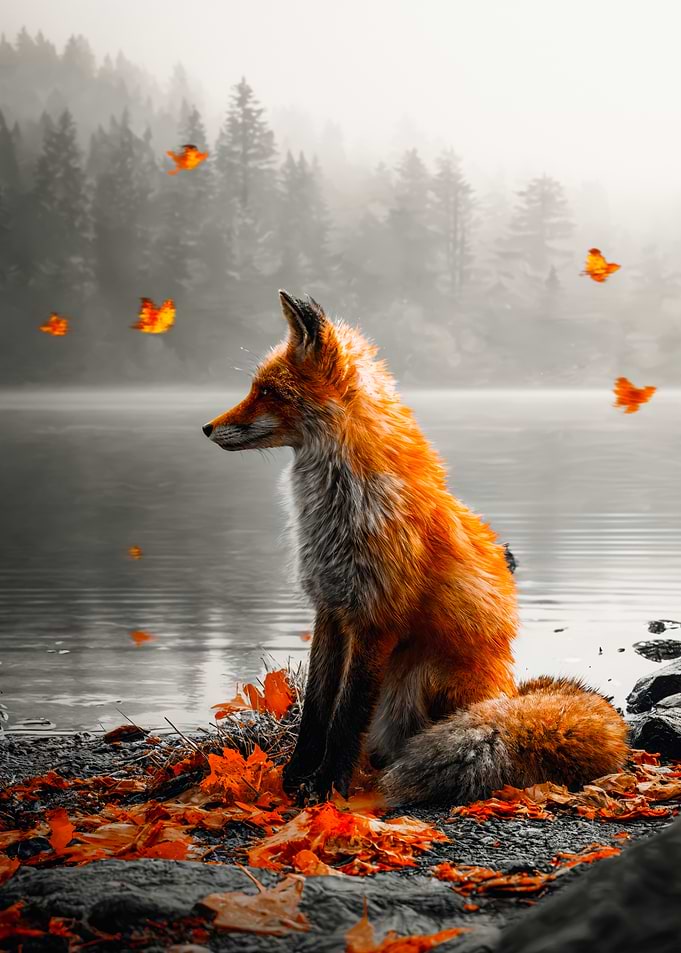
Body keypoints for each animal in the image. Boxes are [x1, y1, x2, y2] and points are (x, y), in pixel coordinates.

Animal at [203, 290, 628, 805]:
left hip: (426, 674)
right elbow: (316, 713)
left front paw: (326, 788)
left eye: (267, 392)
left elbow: (345, 717)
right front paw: (294, 778)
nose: (206, 428)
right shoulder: (330, 608)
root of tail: (511, 693)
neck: (336, 509)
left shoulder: (375, 618)